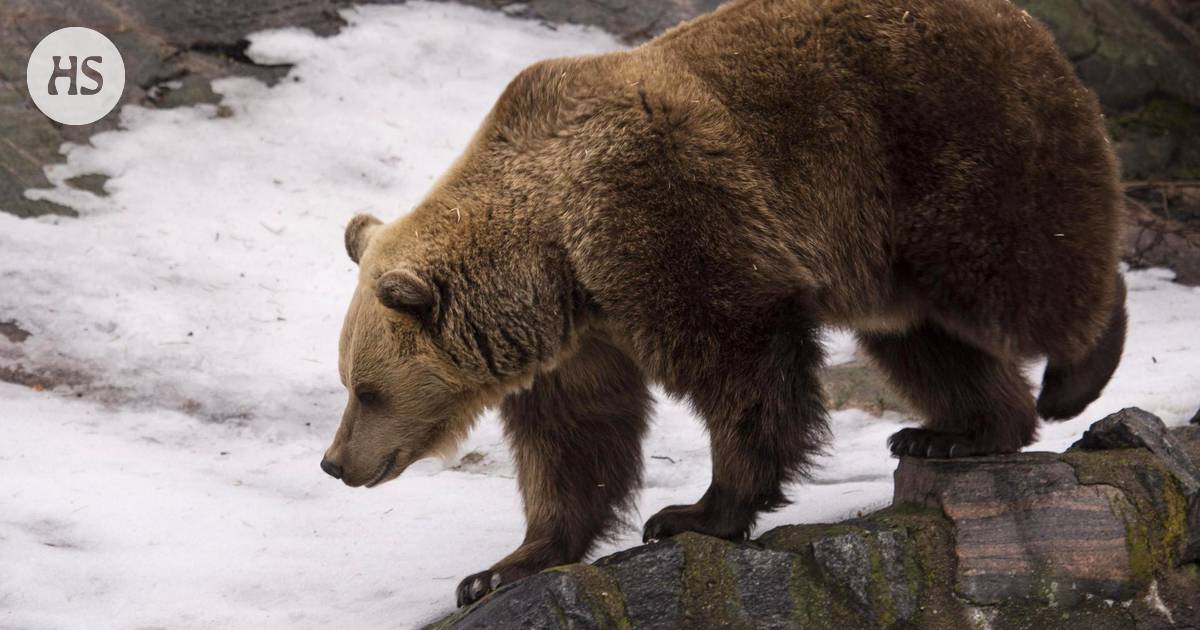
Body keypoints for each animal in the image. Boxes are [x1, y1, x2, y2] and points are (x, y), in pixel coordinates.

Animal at [316, 0, 1123, 607]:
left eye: (367, 388)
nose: (335, 462)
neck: (557, 253)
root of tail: (1024, 22)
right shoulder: (580, 333)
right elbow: (576, 439)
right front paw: (501, 567)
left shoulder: (663, 213)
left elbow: (740, 359)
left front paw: (695, 513)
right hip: (892, 244)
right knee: (923, 335)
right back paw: (954, 433)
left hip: (940, 142)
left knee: (1018, 268)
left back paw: (1077, 369)